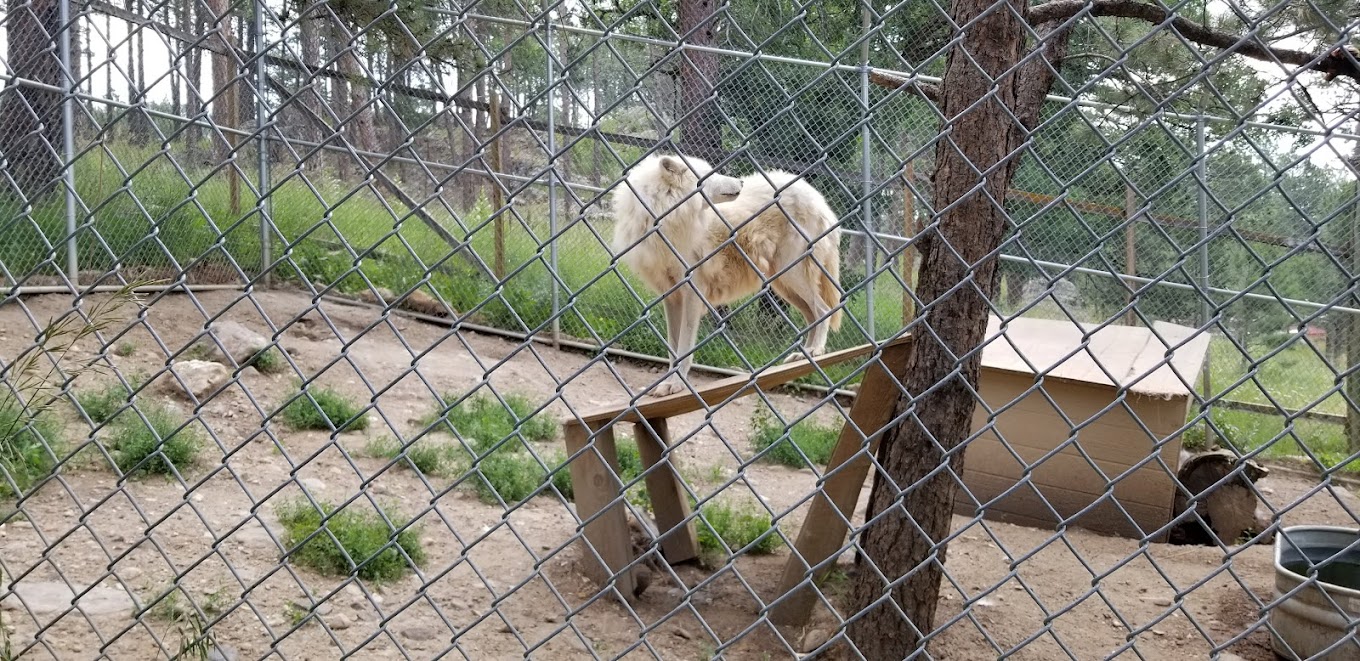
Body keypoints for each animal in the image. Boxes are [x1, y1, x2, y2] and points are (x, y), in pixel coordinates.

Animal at [611, 153, 843, 397]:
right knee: (812, 315)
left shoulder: (693, 293)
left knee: (823, 309)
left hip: (792, 275)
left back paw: (815, 350)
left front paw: (676, 384)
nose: (741, 182)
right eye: (709, 174)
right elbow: (673, 350)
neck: (669, 219)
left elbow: (684, 347)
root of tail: (819, 200)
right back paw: (803, 355)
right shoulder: (672, 297)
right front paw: (668, 382)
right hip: (783, 285)